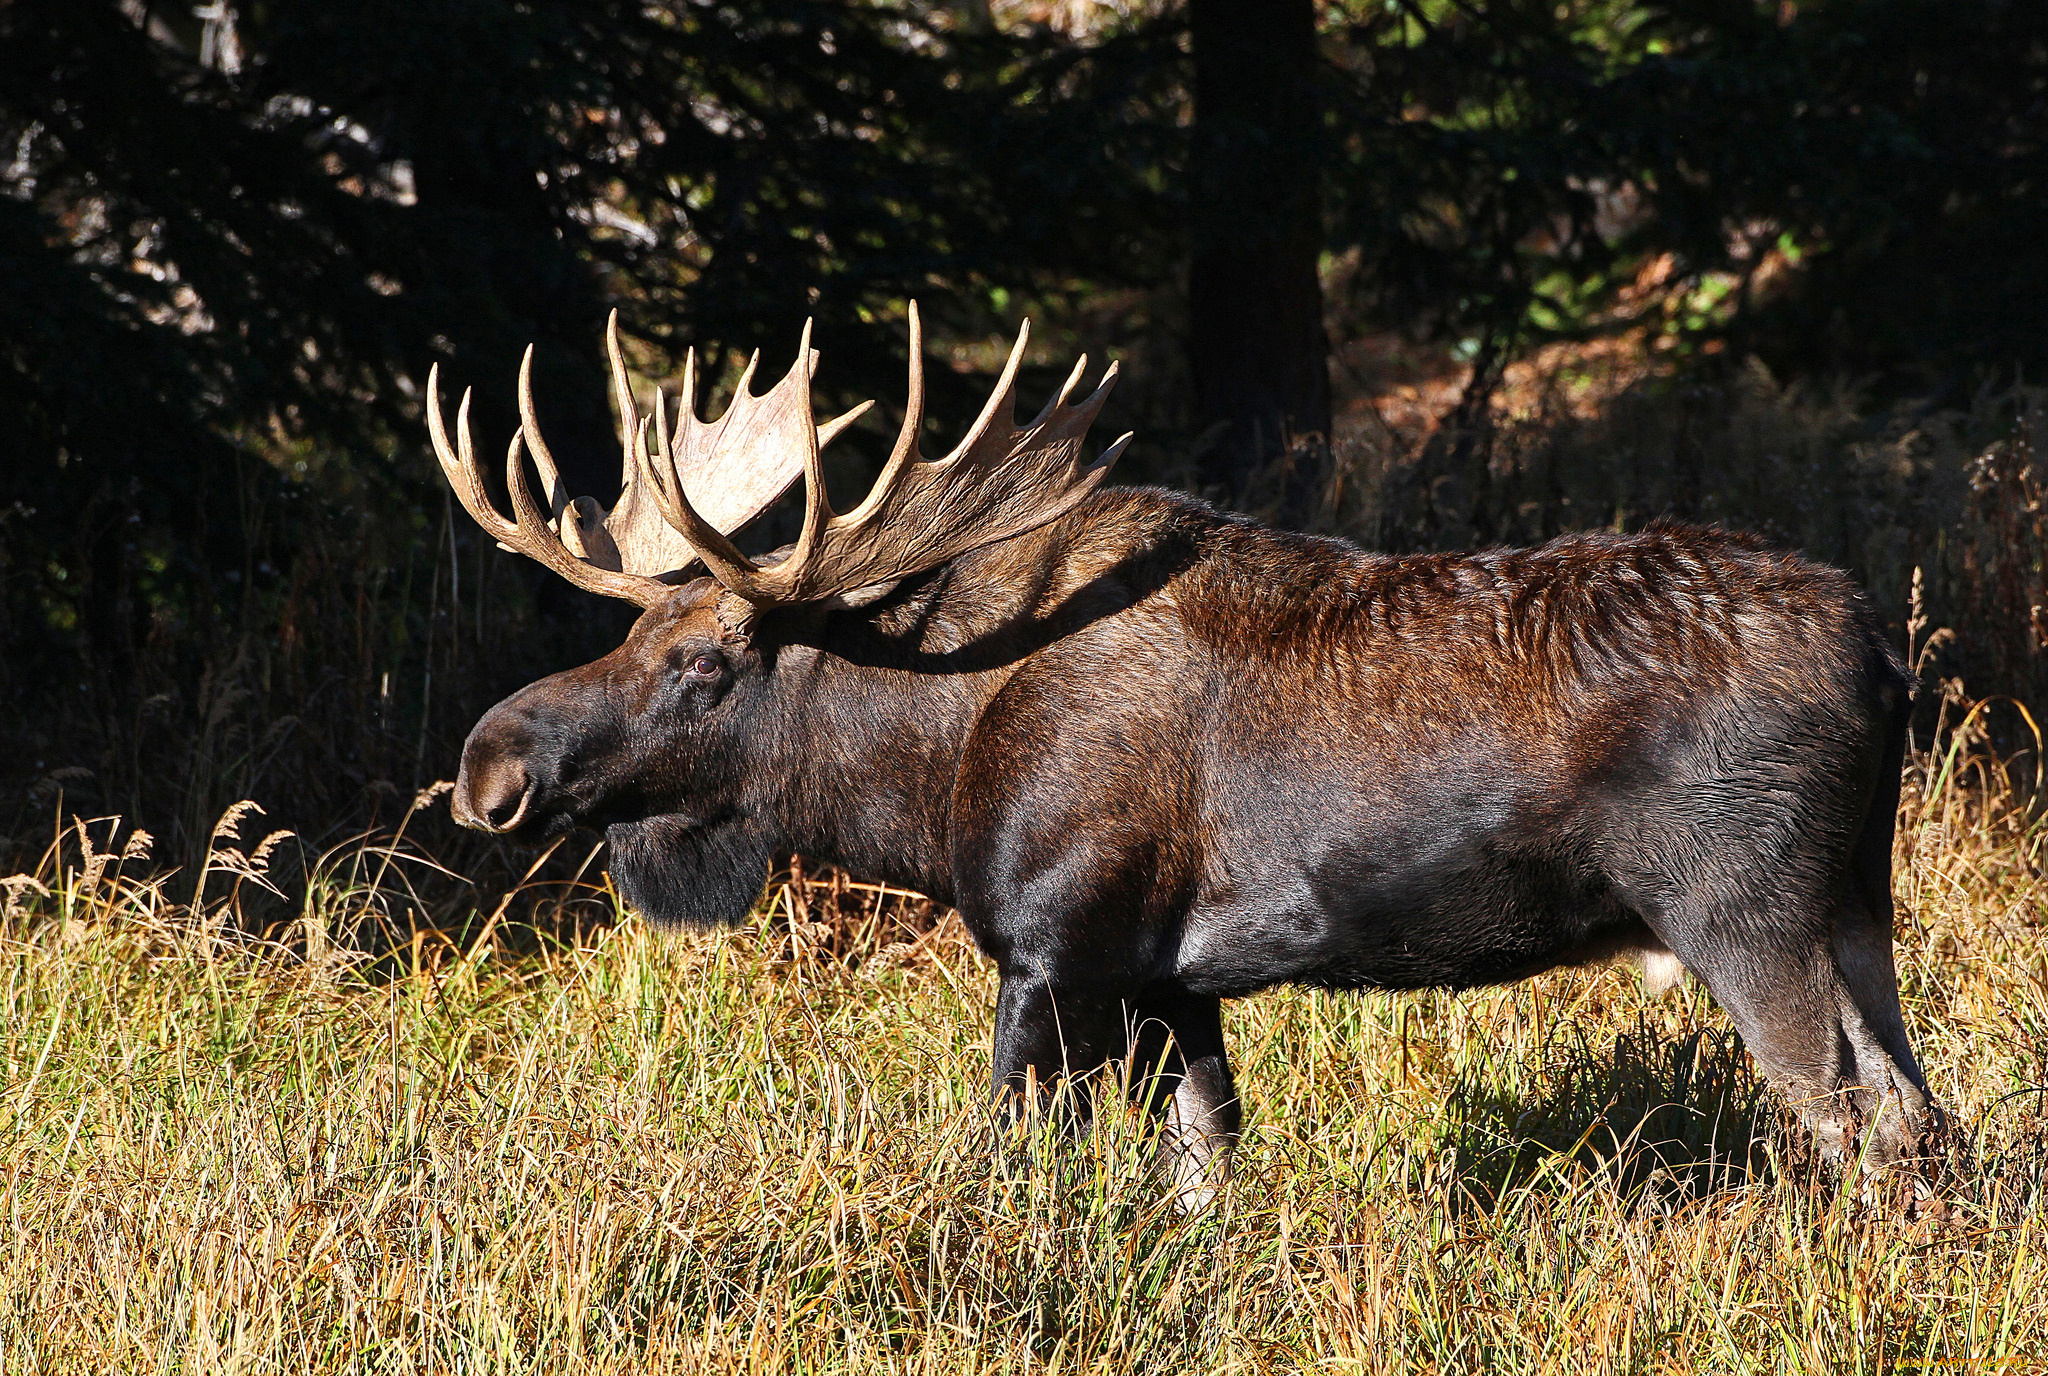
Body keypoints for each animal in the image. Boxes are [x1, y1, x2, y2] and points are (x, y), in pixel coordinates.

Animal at [428, 309, 1933, 1195]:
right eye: (641, 628)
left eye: (703, 662)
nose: (491, 765)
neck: (923, 768)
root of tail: (1882, 654)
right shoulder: (1171, 976)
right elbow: (1205, 1170)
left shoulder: (1054, 947)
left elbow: (1015, 1165)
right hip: (1857, 904)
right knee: (1923, 1112)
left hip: (1742, 908)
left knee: (1845, 1119)